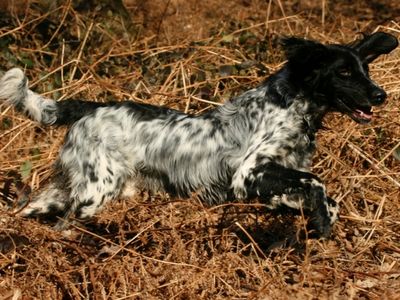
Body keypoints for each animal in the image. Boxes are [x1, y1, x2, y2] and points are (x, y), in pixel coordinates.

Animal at [0, 31, 396, 237]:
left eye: (364, 68)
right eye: (343, 72)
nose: (381, 95)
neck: (292, 104)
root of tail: (89, 108)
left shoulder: (271, 181)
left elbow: (315, 196)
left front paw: (318, 216)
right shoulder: (248, 172)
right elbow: (317, 183)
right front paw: (323, 223)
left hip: (69, 189)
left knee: (30, 209)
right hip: (95, 193)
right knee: (63, 226)